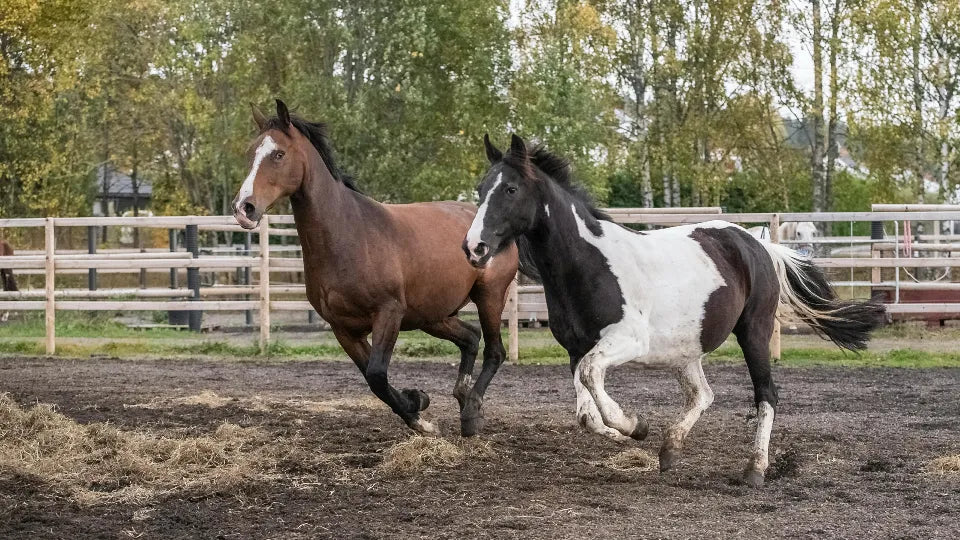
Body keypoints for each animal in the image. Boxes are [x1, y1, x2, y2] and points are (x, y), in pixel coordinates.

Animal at [232, 100, 518, 436]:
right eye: (251, 152)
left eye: (278, 154)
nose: (244, 208)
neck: (349, 235)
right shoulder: (343, 328)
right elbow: (372, 379)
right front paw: (417, 403)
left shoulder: (388, 312)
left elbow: (378, 374)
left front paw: (420, 413)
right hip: (431, 315)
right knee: (471, 338)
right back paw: (463, 398)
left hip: (489, 296)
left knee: (494, 351)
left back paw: (472, 413)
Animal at [462, 134, 885, 486]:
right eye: (480, 190)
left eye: (511, 189)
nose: (474, 247)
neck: (588, 261)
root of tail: (759, 245)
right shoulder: (575, 348)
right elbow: (586, 410)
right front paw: (627, 430)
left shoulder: (626, 340)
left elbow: (593, 378)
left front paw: (635, 425)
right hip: (686, 349)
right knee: (702, 395)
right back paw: (670, 450)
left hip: (754, 332)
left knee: (766, 394)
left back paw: (755, 469)